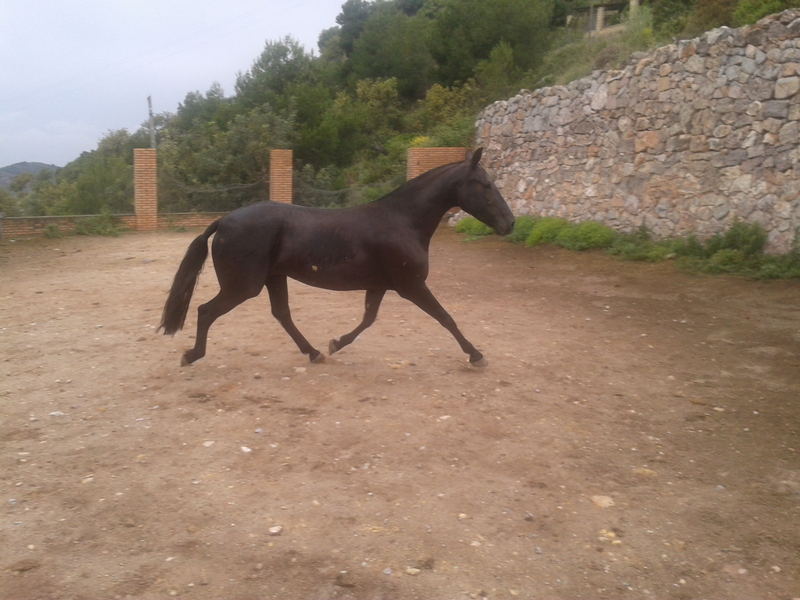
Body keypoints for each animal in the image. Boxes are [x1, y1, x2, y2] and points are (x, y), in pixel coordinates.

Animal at [159, 148, 514, 368]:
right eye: (485, 184)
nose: (510, 223)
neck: (402, 220)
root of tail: (224, 220)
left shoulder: (380, 286)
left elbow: (368, 319)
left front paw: (335, 343)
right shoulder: (411, 286)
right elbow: (445, 317)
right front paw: (476, 355)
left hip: (273, 278)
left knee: (282, 314)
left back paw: (315, 352)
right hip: (243, 286)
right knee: (206, 311)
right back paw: (191, 355)